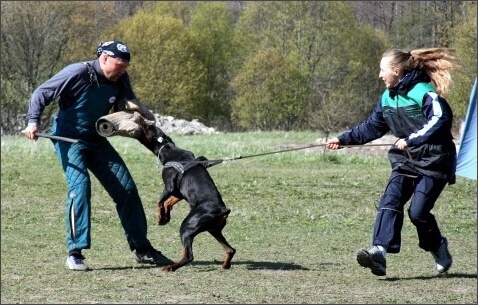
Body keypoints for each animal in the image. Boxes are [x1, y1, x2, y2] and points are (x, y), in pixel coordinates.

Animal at [134, 116, 235, 270]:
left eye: (147, 126)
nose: (138, 116)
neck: (169, 150)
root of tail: (223, 210)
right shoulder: (179, 192)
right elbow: (169, 202)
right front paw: (166, 216)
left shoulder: (169, 186)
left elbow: (160, 201)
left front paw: (159, 217)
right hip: (214, 229)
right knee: (231, 250)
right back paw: (225, 265)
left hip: (188, 226)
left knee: (189, 256)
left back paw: (171, 267)